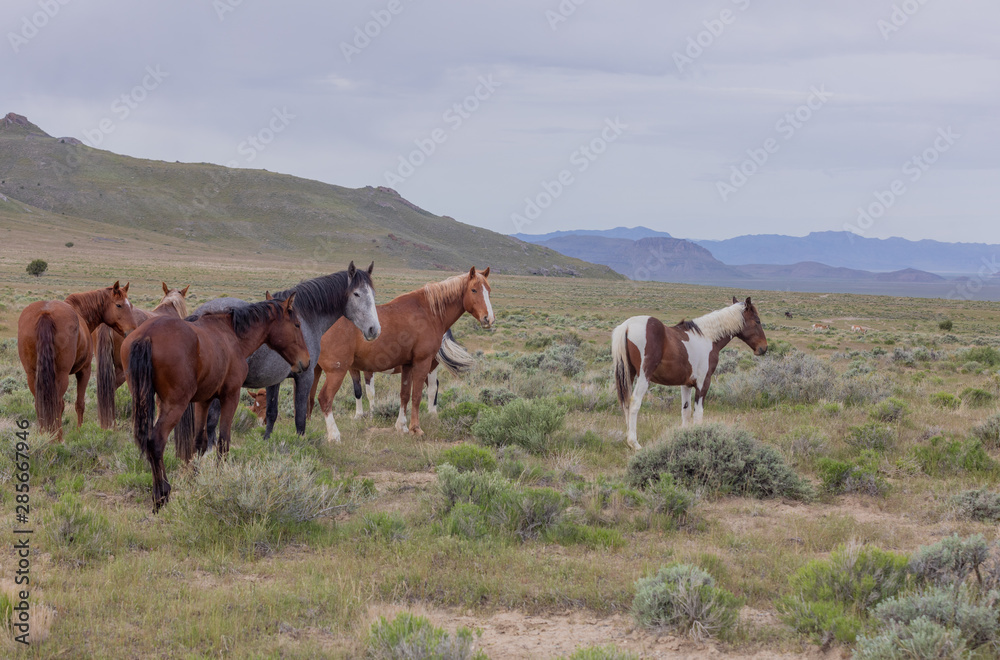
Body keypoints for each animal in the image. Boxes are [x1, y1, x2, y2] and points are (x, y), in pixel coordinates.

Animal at [16, 282, 135, 440]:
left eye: (130, 305)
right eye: (119, 305)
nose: (133, 331)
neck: (80, 312)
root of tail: (45, 313)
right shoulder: (84, 371)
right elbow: (79, 404)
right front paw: (79, 431)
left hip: (32, 375)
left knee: (40, 404)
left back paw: (44, 434)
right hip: (61, 376)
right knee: (57, 403)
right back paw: (58, 437)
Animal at [193, 260, 380, 444]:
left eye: (373, 293)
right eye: (356, 294)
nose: (374, 329)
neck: (305, 319)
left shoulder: (273, 380)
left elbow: (272, 413)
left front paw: (266, 441)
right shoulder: (305, 376)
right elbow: (300, 417)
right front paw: (299, 444)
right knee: (211, 422)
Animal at [314, 266, 494, 440]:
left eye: (489, 290)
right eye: (474, 290)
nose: (489, 319)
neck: (428, 311)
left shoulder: (408, 364)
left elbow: (405, 395)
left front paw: (402, 426)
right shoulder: (421, 362)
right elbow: (415, 396)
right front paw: (415, 428)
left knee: (433, 389)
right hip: (336, 371)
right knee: (324, 398)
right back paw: (333, 435)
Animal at [608, 296, 764, 452]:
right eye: (757, 321)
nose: (763, 348)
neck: (707, 338)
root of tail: (627, 326)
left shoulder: (686, 384)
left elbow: (686, 411)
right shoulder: (703, 383)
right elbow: (698, 413)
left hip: (628, 375)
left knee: (626, 403)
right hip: (643, 377)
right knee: (634, 403)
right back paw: (634, 443)